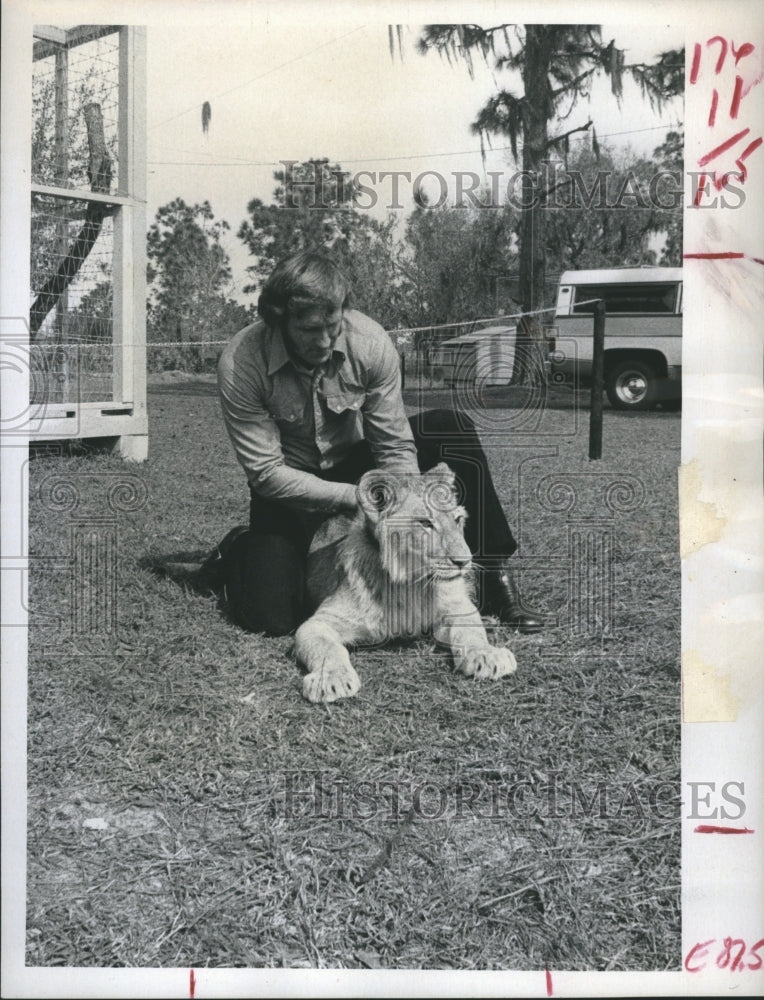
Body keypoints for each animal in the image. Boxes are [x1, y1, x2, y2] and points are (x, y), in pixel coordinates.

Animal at [296, 462, 516, 704]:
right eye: (425, 523)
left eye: (457, 520)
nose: (464, 561)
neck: (411, 584)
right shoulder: (318, 623)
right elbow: (327, 648)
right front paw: (331, 678)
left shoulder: (454, 609)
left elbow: (471, 631)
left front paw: (487, 655)